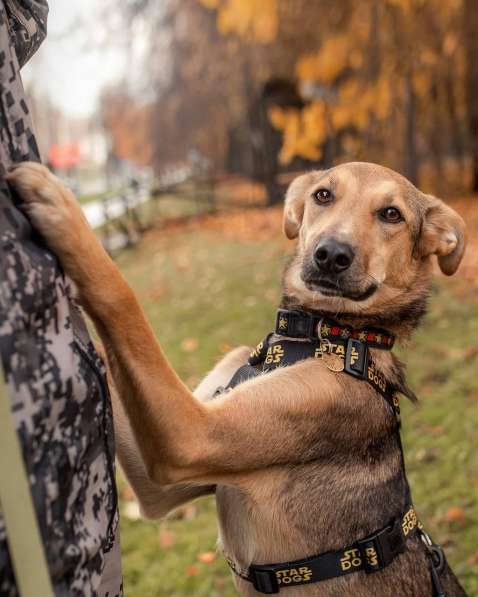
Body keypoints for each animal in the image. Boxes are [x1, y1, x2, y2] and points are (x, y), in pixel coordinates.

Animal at [9, 161, 468, 592]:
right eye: (323, 195)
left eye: (392, 214)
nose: (331, 254)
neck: (323, 334)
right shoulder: (163, 485)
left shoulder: (192, 436)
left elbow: (122, 297)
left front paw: (61, 208)